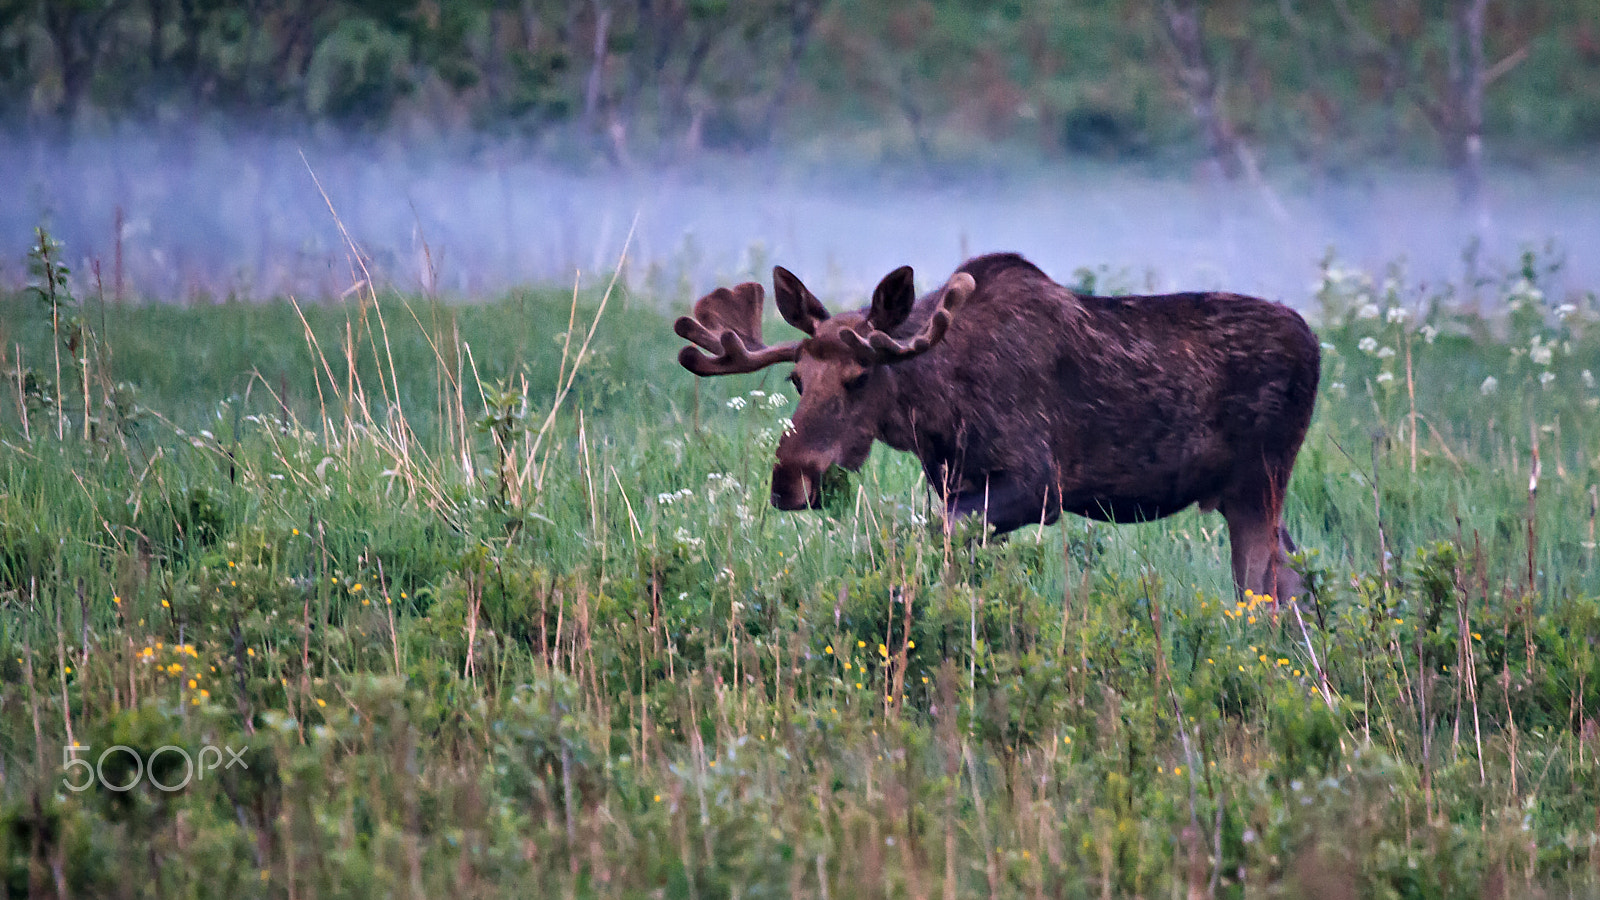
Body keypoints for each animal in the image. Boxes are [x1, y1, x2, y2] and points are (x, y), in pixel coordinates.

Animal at [674, 253, 1321, 604]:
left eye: (859, 377)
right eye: (796, 380)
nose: (790, 478)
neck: (935, 410)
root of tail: (1318, 345)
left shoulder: (1039, 484)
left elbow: (931, 539)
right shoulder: (958, 481)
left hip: (1262, 479)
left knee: (1272, 587)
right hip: (1244, 493)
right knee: (1294, 579)